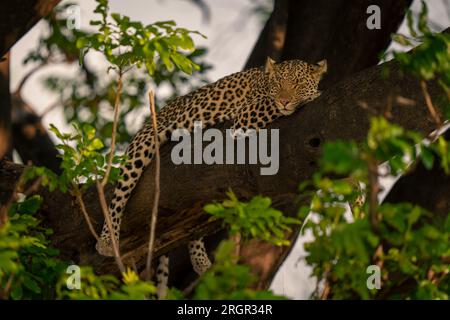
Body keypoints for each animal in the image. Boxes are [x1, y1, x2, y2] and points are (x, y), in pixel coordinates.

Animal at [95, 56, 326, 296]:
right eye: (278, 84)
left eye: (298, 84)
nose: (284, 101)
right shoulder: (247, 113)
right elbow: (271, 103)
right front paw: (314, 95)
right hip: (143, 144)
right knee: (120, 193)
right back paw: (106, 240)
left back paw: (200, 261)